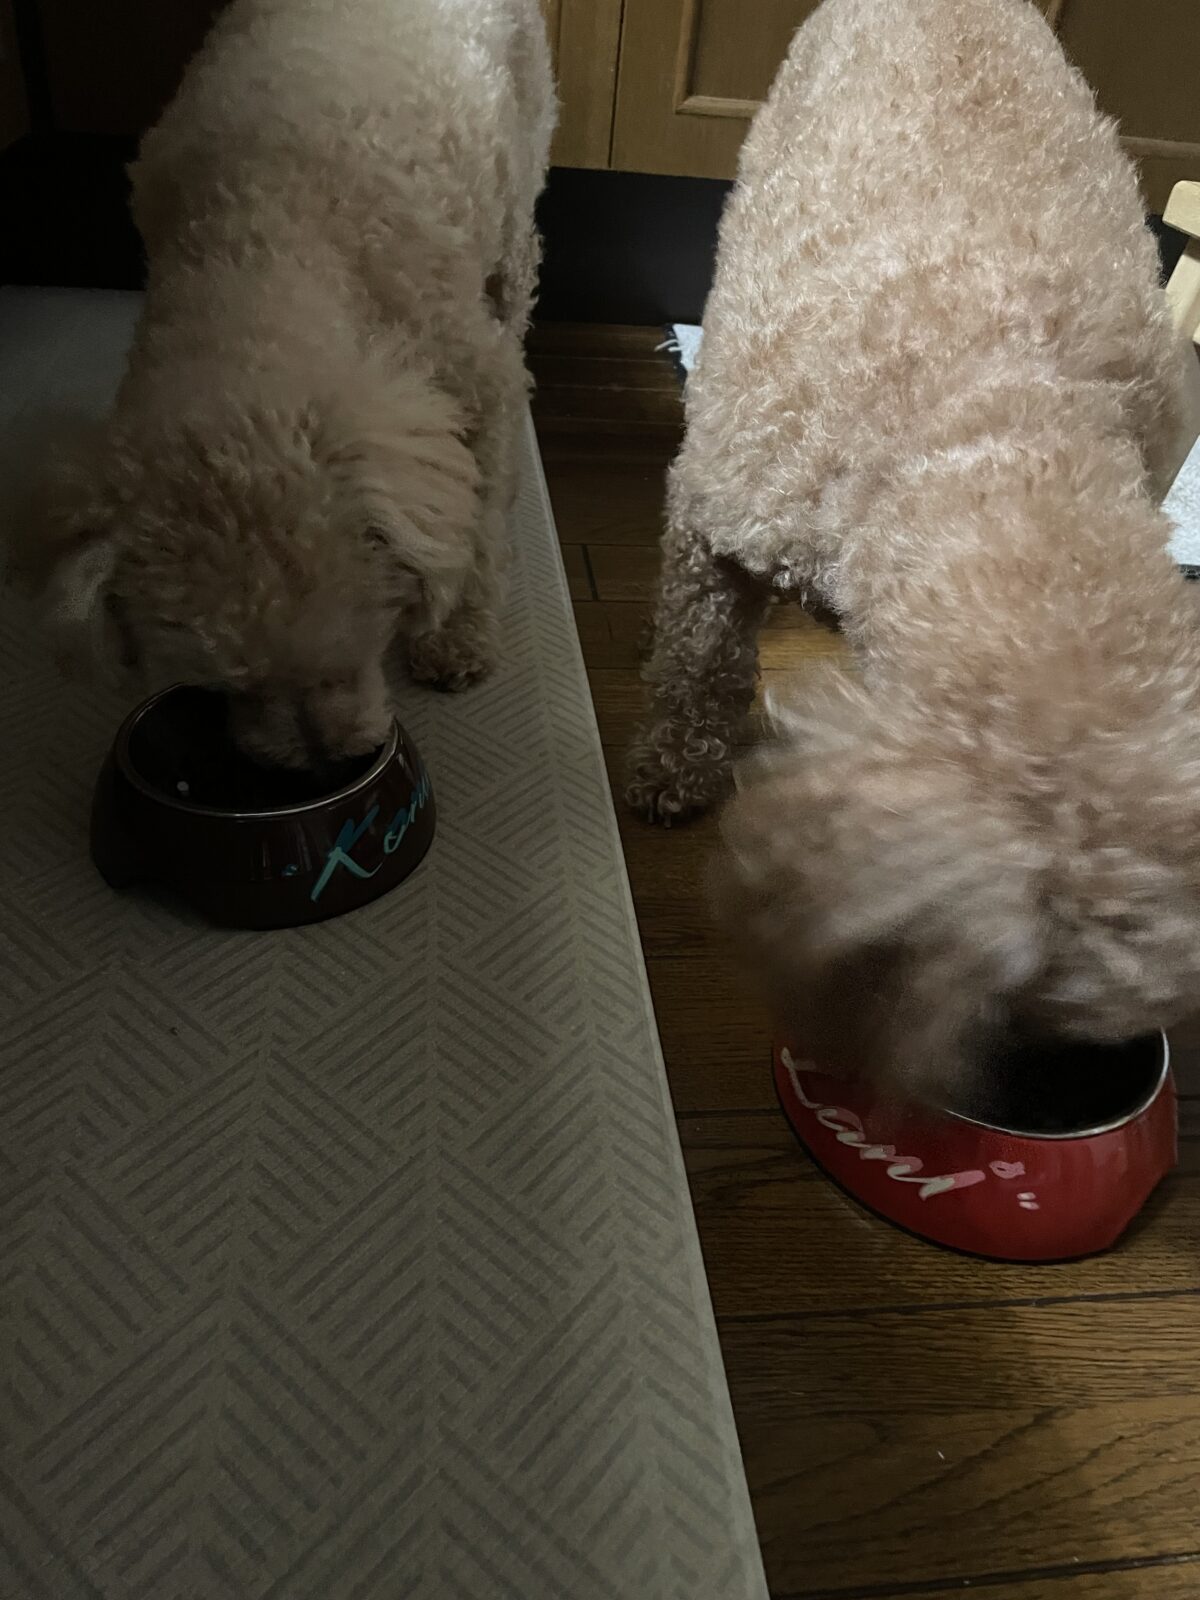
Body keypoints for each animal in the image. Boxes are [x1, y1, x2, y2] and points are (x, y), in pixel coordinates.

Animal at [23, 0, 554, 768]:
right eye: (223, 684)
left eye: (357, 649)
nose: (327, 760)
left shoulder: (476, 380)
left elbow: (477, 521)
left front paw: (456, 636)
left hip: (520, 165)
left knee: (517, 259)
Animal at [627, 0, 1200, 1097]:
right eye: (1030, 998)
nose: (1045, 1086)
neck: (998, 428)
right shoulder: (717, 510)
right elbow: (696, 658)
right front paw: (675, 767)